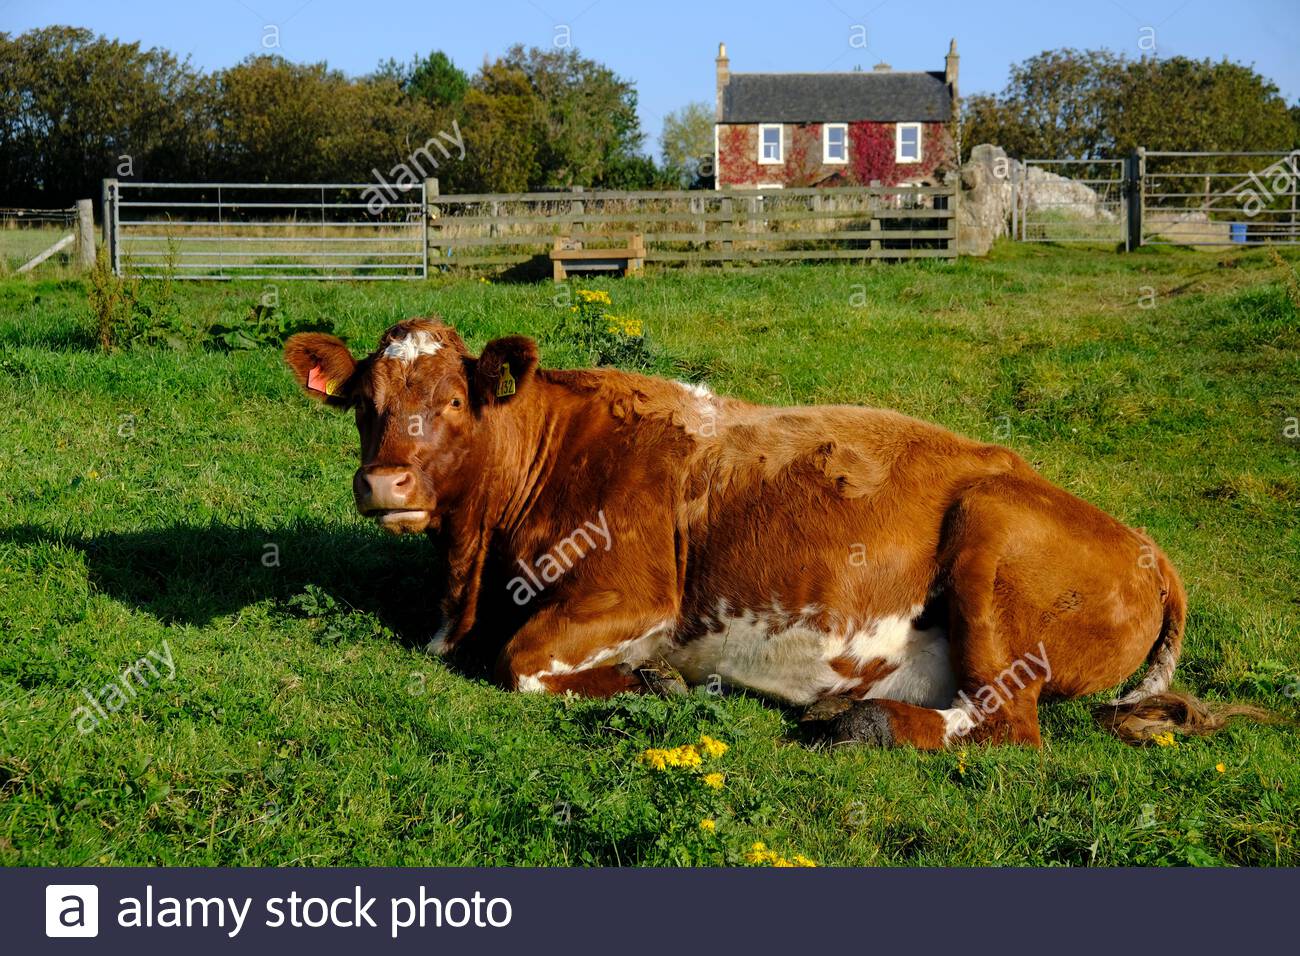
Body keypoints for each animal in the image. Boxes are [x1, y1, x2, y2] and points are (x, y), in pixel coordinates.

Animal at [284, 317, 1258, 749]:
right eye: (365, 404)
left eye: (454, 400)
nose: (385, 482)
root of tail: (1147, 546)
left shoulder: (638, 595)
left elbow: (517, 661)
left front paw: (653, 682)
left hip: (991, 536)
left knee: (1008, 726)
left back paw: (863, 721)